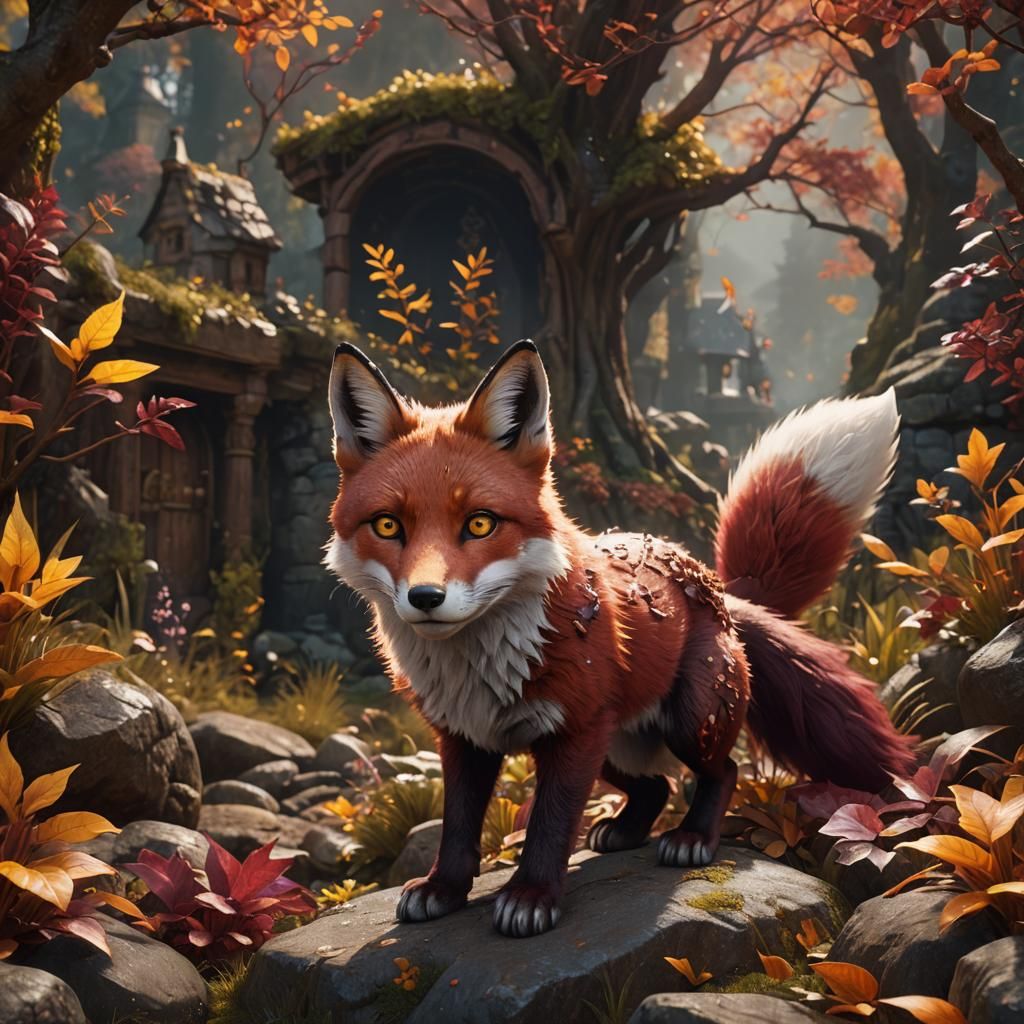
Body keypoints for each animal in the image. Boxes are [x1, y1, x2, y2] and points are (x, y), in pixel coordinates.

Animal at [324, 338, 917, 938]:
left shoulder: (575, 731)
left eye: (480, 524)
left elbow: (550, 824)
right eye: (389, 526)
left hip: (684, 722)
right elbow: (458, 825)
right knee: (656, 786)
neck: (482, 670)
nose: (424, 597)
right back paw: (625, 832)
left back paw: (693, 838)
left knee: (720, 771)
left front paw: (532, 897)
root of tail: (712, 584)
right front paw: (444, 889)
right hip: (613, 747)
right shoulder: (466, 738)